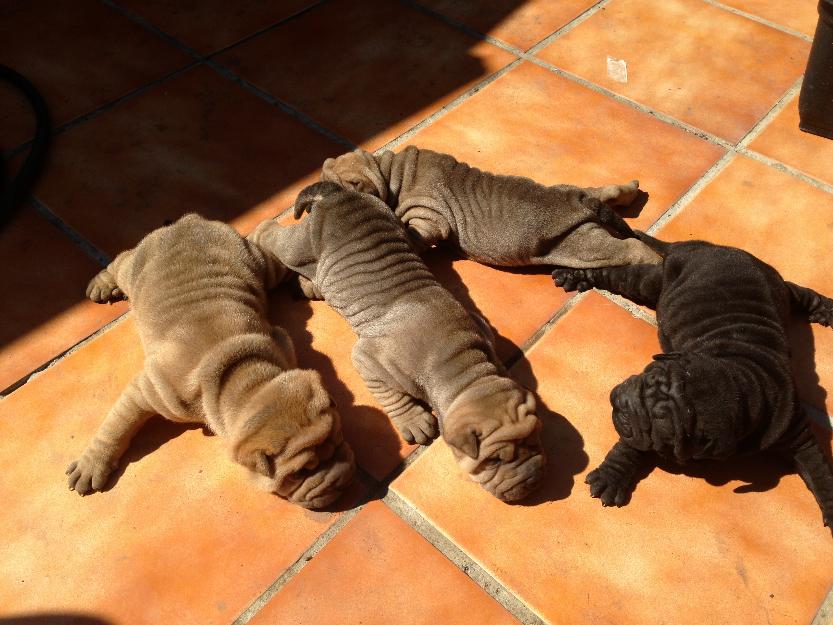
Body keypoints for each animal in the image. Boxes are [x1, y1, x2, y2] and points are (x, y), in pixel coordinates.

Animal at [68, 213, 354, 508]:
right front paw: (92, 463)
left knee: (273, 253)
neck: (240, 372)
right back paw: (102, 284)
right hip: (136, 267)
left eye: (339, 437)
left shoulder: (282, 342)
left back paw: (306, 282)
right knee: (121, 261)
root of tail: (187, 221)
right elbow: (118, 424)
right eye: (298, 474)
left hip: (258, 263)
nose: (340, 482)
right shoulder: (151, 390)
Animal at [247, 182, 544, 502]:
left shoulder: (481, 329)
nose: (533, 482)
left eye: (536, 437)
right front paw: (414, 420)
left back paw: (308, 286)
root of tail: (339, 193)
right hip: (301, 244)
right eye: (494, 460)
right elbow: (393, 396)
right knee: (275, 237)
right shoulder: (370, 361)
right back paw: (258, 236)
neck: (462, 365)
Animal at [322, 145, 660, 270]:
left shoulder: (428, 214)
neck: (389, 172)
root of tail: (579, 201)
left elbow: (418, 232)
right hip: (576, 202)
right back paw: (627, 190)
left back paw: (657, 263)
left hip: (578, 243)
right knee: (602, 191)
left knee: (626, 248)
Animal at [552, 234, 832, 532]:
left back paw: (826, 308)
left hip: (774, 284)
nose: (623, 403)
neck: (745, 381)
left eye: (660, 425)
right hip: (654, 281)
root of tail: (702, 247)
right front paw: (611, 476)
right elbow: (630, 444)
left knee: (799, 293)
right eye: (649, 377)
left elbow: (818, 469)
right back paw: (574, 276)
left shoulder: (795, 429)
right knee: (619, 275)